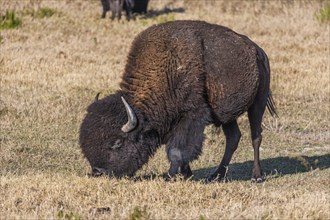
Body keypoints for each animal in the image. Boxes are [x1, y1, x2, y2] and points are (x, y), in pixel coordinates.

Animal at [79, 20, 276, 182]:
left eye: (117, 143)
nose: (98, 172)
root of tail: (258, 51)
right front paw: (186, 174)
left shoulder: (191, 116)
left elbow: (177, 150)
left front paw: (170, 176)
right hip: (227, 115)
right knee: (233, 138)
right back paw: (216, 176)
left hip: (257, 104)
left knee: (256, 136)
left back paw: (256, 176)